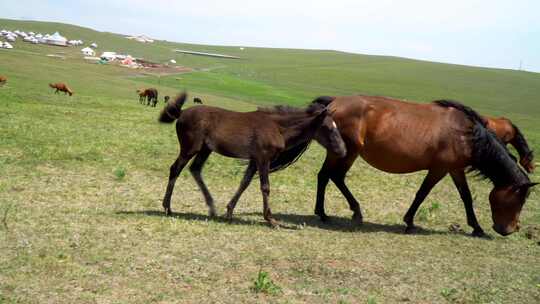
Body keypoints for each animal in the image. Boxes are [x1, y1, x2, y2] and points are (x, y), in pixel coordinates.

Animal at [157, 92, 346, 228]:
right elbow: (265, 187)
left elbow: (244, 183)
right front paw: (271, 220)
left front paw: (229, 212)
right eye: (328, 128)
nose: (342, 151)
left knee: (195, 169)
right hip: (190, 148)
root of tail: (181, 113)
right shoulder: (263, 158)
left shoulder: (254, 160)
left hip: (205, 149)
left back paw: (211, 208)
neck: (277, 127)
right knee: (175, 169)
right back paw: (167, 207)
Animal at [312, 96, 536, 236]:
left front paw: (477, 227)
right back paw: (342, 212)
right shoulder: (439, 169)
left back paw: (330, 212)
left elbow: (466, 197)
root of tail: (334, 103)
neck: (467, 135)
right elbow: (422, 193)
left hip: (342, 153)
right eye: (519, 201)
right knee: (332, 176)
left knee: (327, 176)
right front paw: (409, 221)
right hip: (347, 152)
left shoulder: (455, 169)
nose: (511, 229)